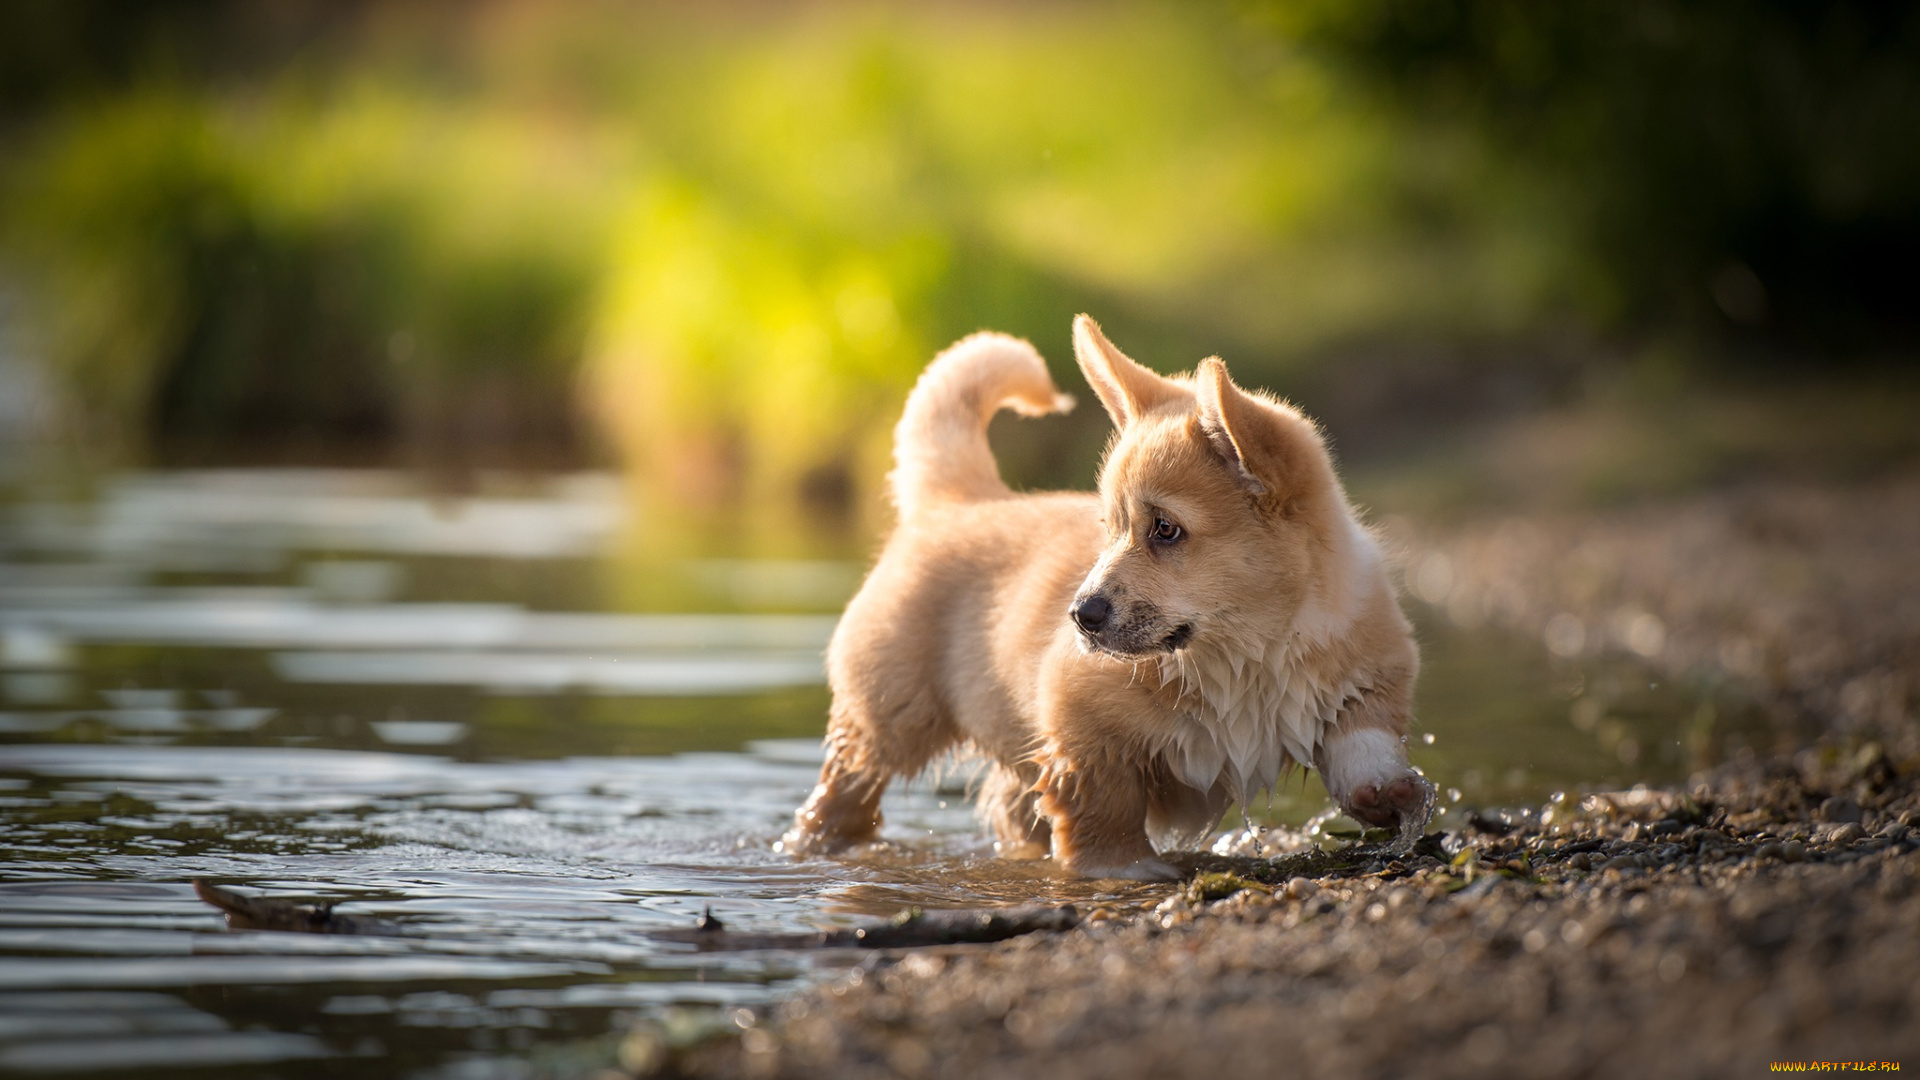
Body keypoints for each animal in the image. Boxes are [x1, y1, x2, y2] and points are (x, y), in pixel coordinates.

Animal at [779, 315, 1428, 880]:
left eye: (1164, 529)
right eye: (1109, 526)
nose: (1079, 616)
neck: (1246, 657)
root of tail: (959, 500)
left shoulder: (1365, 682)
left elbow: (1362, 747)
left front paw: (1391, 794)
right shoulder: (1082, 729)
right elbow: (1104, 807)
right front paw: (1122, 868)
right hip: (886, 715)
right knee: (844, 791)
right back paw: (812, 844)